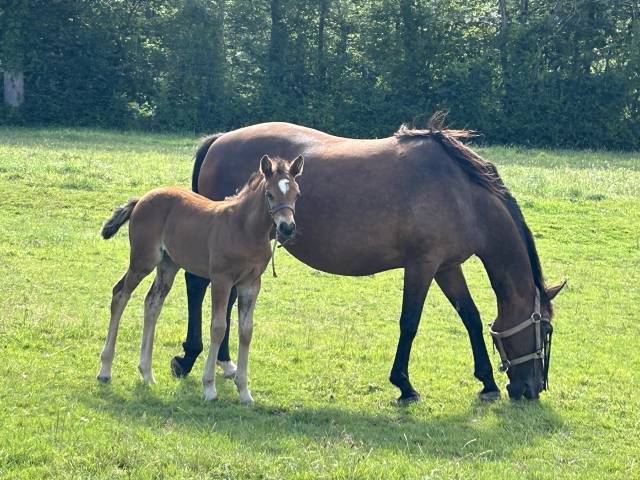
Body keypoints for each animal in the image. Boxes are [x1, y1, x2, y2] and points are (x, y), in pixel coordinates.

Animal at [97, 154, 304, 403]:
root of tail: (141, 199)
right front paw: (209, 388)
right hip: (143, 260)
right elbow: (218, 327)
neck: (244, 229)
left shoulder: (251, 284)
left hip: (168, 264)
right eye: (270, 194)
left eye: (296, 194)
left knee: (152, 303)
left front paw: (244, 392)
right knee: (120, 294)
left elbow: (246, 331)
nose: (287, 227)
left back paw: (147, 373)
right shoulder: (221, 279)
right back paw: (105, 370)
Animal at [171, 113, 565, 402]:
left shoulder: (447, 267)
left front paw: (487, 382)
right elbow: (410, 323)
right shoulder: (421, 266)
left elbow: (470, 316)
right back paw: (189, 356)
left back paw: (225, 363)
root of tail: (220, 139)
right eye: (545, 329)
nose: (532, 389)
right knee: (197, 286)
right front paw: (404, 385)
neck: (462, 194)